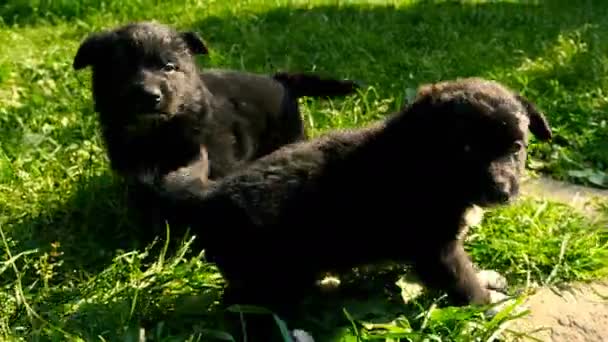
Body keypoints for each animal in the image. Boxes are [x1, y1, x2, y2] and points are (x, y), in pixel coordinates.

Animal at [145, 77, 552, 340]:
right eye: (466, 149)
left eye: (516, 147)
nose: (502, 191)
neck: (423, 158)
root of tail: (210, 195)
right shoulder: (435, 249)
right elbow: (463, 282)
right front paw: (489, 305)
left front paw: (487, 279)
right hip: (267, 274)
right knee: (244, 311)